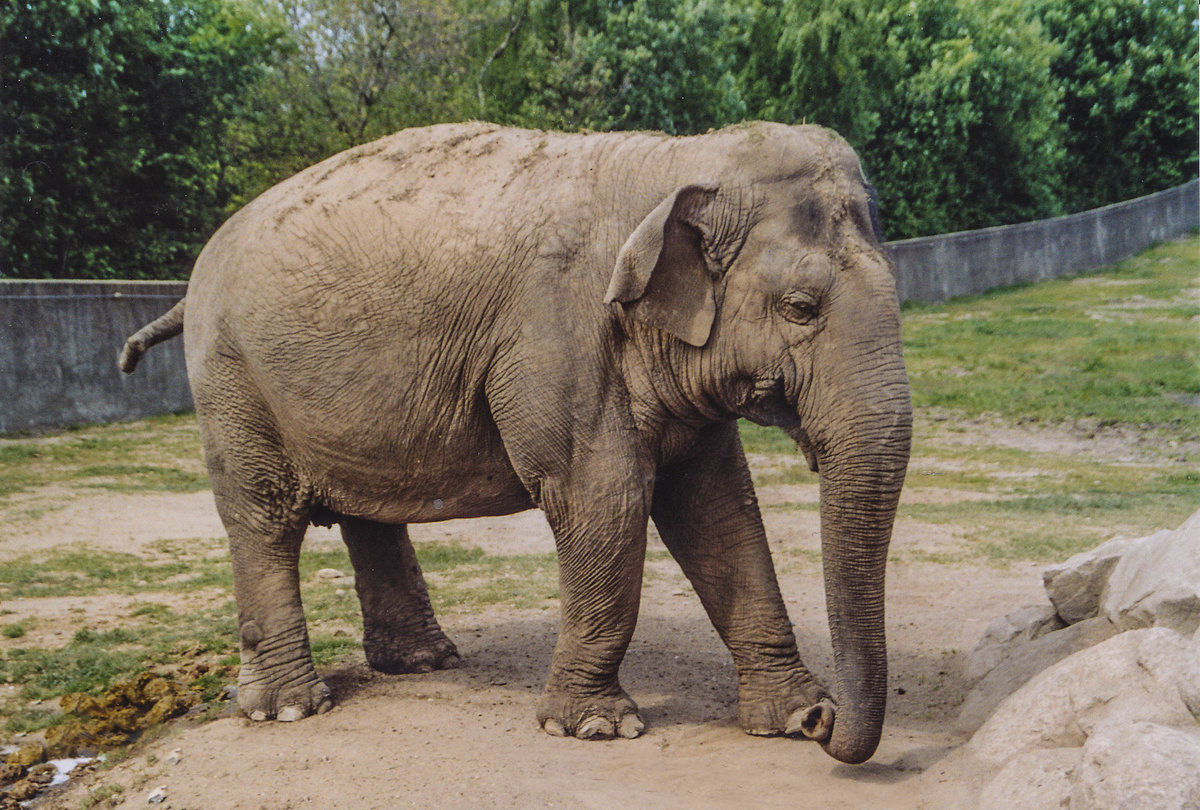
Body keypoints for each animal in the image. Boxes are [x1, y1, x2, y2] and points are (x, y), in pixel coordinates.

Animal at [121, 117, 907, 763]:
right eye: (800, 309)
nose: (829, 727)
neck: (675, 161)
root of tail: (190, 285)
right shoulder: (558, 335)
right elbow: (605, 500)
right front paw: (595, 728)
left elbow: (719, 509)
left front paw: (789, 718)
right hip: (231, 377)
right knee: (263, 517)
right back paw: (287, 709)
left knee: (367, 514)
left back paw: (425, 663)